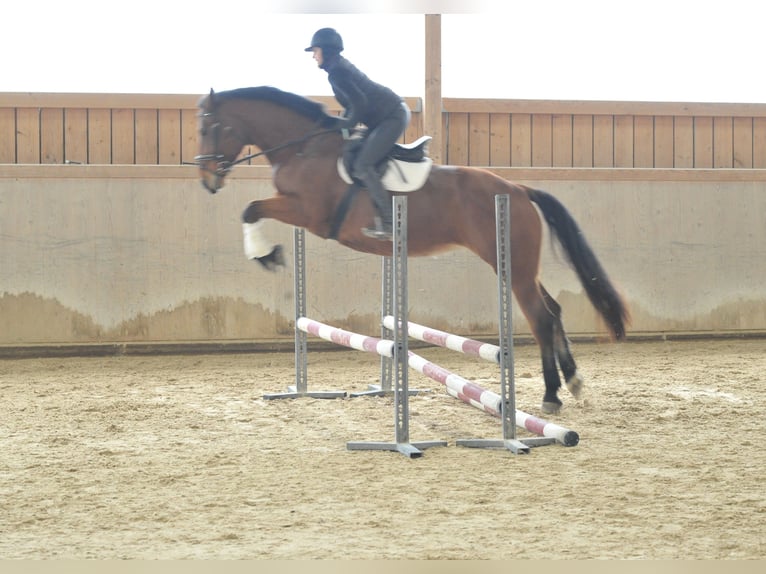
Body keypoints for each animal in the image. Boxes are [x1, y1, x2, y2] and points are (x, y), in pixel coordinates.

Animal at [195, 86, 630, 414]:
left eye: (208, 128)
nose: (207, 180)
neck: (305, 149)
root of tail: (519, 189)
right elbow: (252, 208)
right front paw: (267, 253)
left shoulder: (309, 213)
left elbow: (250, 208)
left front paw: (265, 255)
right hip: (519, 265)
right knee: (553, 310)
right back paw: (573, 381)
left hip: (511, 265)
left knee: (540, 317)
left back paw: (551, 394)